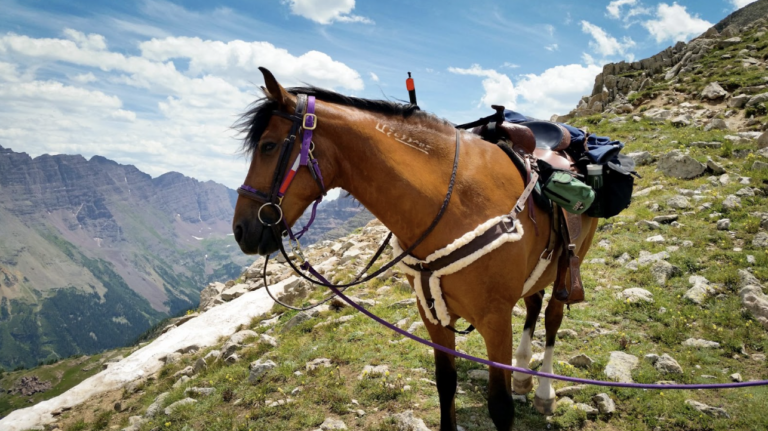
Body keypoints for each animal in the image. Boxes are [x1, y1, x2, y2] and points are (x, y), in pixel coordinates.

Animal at [234, 66, 600, 430]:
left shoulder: (495, 319)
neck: (457, 200)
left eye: (268, 146)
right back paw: (523, 374)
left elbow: (500, 405)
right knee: (534, 302)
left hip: (572, 263)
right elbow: (445, 383)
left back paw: (543, 391)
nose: (240, 230)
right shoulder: (432, 313)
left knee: (552, 317)